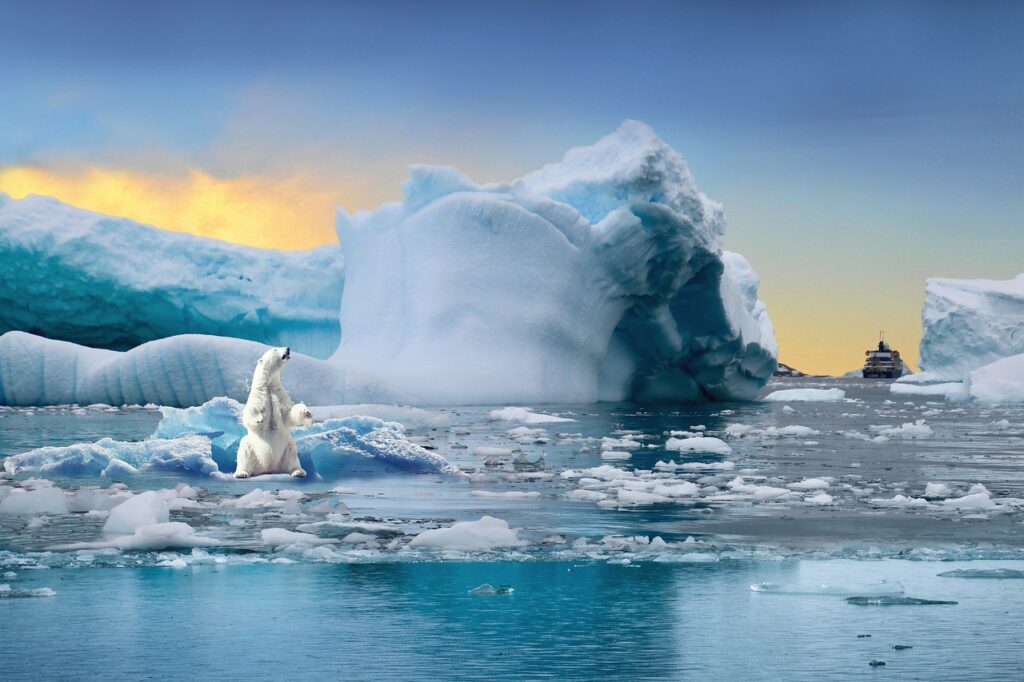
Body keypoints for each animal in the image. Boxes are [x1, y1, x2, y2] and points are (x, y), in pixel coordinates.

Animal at [236, 346, 313, 477]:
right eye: (275, 349)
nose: (288, 348)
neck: (268, 385)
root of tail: (269, 468)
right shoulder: (258, 395)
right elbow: (250, 411)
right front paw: (259, 419)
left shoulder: (279, 394)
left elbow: (288, 413)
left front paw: (306, 412)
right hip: (253, 448)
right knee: (244, 448)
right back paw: (241, 473)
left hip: (286, 447)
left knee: (292, 453)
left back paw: (298, 471)